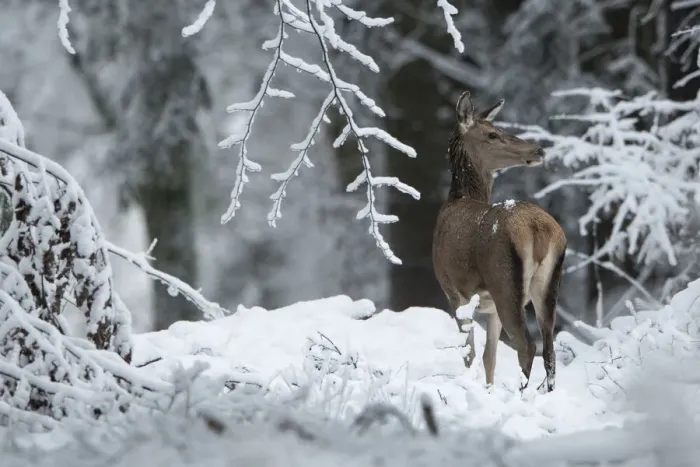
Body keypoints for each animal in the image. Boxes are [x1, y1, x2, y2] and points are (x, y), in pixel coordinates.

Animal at [432, 91, 567, 393]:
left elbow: (469, 353)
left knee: (527, 345)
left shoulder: (452, 292)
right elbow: (489, 356)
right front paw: (488, 390)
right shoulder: (489, 306)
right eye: (493, 134)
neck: (458, 199)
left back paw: (521, 392)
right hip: (547, 283)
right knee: (549, 348)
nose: (538, 151)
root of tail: (539, 229)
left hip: (504, 279)